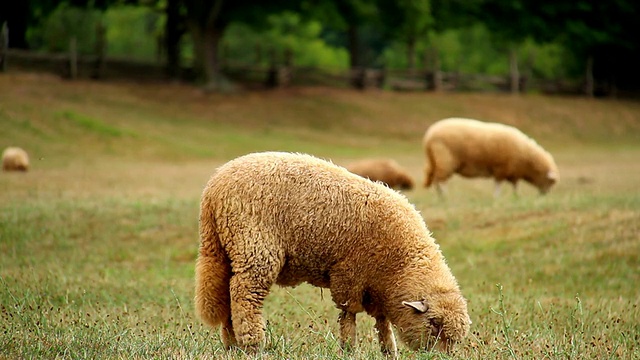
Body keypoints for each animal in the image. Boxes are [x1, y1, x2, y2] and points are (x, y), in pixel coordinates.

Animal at [195, 151, 470, 358]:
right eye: (435, 325)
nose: (441, 357)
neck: (401, 264)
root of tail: (213, 190)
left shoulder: (376, 286)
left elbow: (382, 321)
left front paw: (388, 351)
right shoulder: (350, 273)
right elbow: (349, 314)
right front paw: (349, 348)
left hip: (223, 249)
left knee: (225, 295)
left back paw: (232, 344)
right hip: (254, 246)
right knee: (244, 295)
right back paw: (253, 344)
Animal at [424, 117, 560, 197]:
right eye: (550, 182)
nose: (544, 195)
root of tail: (429, 136)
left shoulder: (513, 171)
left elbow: (515, 185)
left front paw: (516, 196)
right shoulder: (502, 168)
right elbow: (498, 184)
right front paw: (497, 197)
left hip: (435, 161)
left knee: (436, 180)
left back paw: (441, 197)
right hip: (445, 160)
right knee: (440, 181)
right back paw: (445, 196)